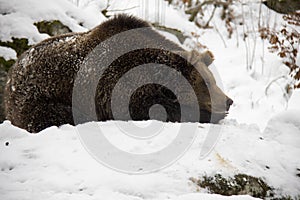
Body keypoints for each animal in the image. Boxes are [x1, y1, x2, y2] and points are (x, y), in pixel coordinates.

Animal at [5, 14, 234, 133]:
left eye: (212, 80)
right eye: (206, 83)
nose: (229, 101)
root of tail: (11, 75)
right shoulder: (118, 88)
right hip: (39, 100)